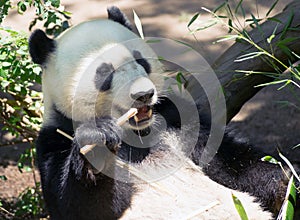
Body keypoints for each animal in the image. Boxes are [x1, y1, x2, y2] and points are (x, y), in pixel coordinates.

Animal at [28, 6, 290, 219]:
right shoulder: (56, 137)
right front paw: (97, 141)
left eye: (140, 60)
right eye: (105, 73)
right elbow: (80, 205)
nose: (143, 94)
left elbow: (232, 161)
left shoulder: (176, 119)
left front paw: (284, 183)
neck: (136, 133)